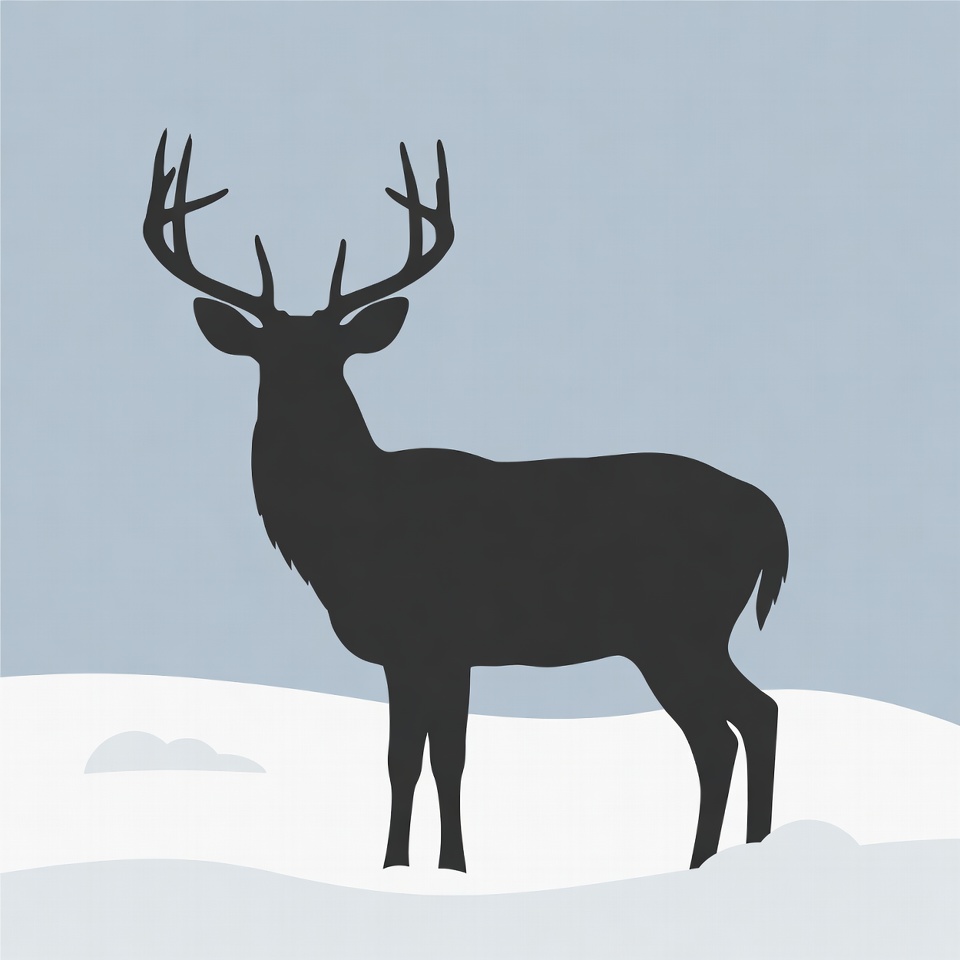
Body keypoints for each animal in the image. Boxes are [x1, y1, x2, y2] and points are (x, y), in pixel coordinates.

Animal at [144, 132, 789, 873]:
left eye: (335, 357)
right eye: (265, 357)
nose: (297, 410)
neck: (352, 534)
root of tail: (771, 517)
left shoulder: (439, 638)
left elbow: (436, 759)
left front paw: (438, 868)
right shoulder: (420, 652)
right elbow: (410, 760)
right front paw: (407, 867)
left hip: (678, 629)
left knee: (727, 732)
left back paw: (708, 862)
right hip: (691, 633)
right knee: (752, 718)